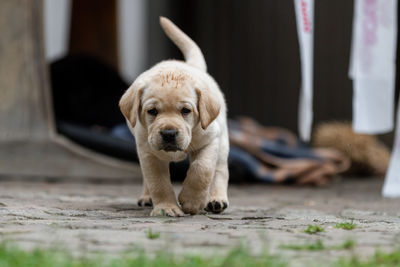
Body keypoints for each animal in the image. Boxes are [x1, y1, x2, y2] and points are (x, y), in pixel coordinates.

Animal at [119, 17, 228, 218]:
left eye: (186, 111)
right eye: (152, 111)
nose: (169, 133)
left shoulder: (210, 140)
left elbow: (202, 170)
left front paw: (192, 202)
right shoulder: (148, 152)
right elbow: (158, 182)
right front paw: (166, 208)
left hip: (223, 143)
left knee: (220, 170)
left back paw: (216, 199)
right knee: (146, 178)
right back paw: (147, 197)